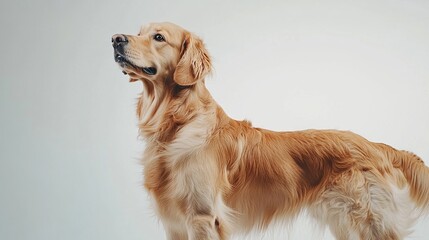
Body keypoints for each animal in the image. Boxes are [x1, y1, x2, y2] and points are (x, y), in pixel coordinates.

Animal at [113, 22, 428, 238]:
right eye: (139, 31)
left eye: (158, 37)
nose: (116, 39)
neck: (177, 123)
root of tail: (377, 146)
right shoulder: (175, 223)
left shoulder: (203, 217)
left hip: (370, 221)